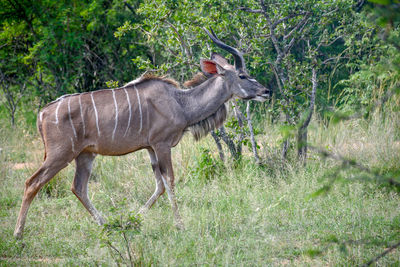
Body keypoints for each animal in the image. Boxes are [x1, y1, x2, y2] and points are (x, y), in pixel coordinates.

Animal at [14, 28, 270, 239]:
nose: (267, 91)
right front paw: (180, 225)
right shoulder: (161, 145)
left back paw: (106, 224)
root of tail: (42, 113)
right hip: (61, 154)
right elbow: (170, 181)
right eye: (243, 76)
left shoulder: (150, 149)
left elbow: (159, 185)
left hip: (85, 155)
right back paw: (18, 233)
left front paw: (133, 219)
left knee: (78, 187)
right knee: (32, 182)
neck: (181, 103)